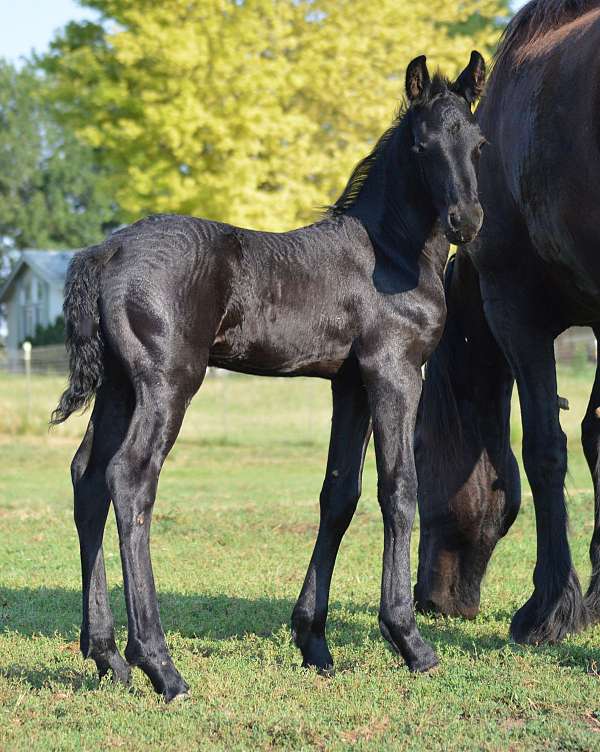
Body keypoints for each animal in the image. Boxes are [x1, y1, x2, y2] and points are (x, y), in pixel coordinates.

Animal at [51, 53, 488, 700]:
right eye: (423, 145)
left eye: (478, 144)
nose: (466, 221)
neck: (390, 253)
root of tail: (105, 252)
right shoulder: (394, 371)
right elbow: (399, 490)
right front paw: (410, 640)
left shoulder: (349, 384)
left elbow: (339, 494)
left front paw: (314, 642)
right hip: (167, 382)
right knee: (129, 479)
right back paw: (160, 665)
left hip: (119, 388)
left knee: (87, 477)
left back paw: (106, 654)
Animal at [414, 0, 600, 648]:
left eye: (419, 450)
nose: (429, 600)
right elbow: (596, 435)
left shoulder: (515, 309)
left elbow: (545, 448)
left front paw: (549, 610)